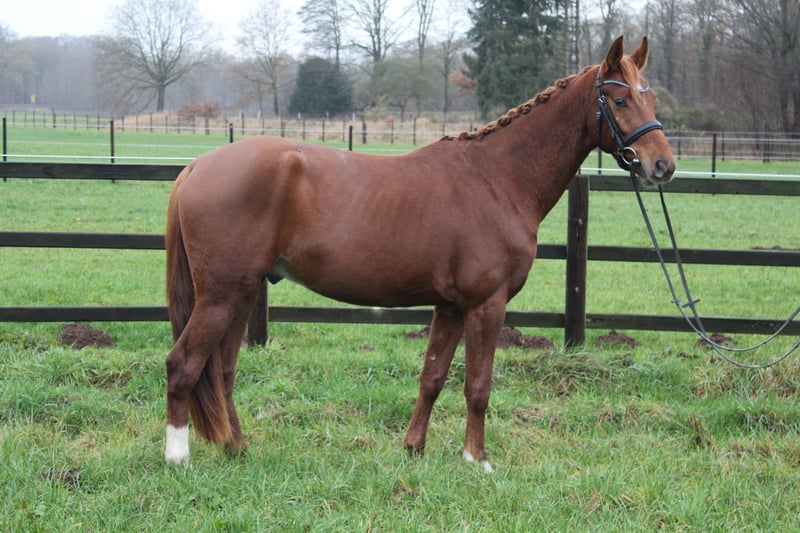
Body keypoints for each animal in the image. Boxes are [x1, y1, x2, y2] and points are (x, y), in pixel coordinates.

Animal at [164, 36, 675, 472]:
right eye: (620, 100)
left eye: (651, 101)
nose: (663, 166)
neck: (497, 179)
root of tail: (197, 165)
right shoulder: (486, 305)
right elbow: (477, 385)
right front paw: (476, 459)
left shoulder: (449, 306)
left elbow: (432, 377)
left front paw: (414, 448)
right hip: (222, 296)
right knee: (183, 362)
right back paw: (177, 457)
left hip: (243, 293)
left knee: (222, 369)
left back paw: (236, 448)